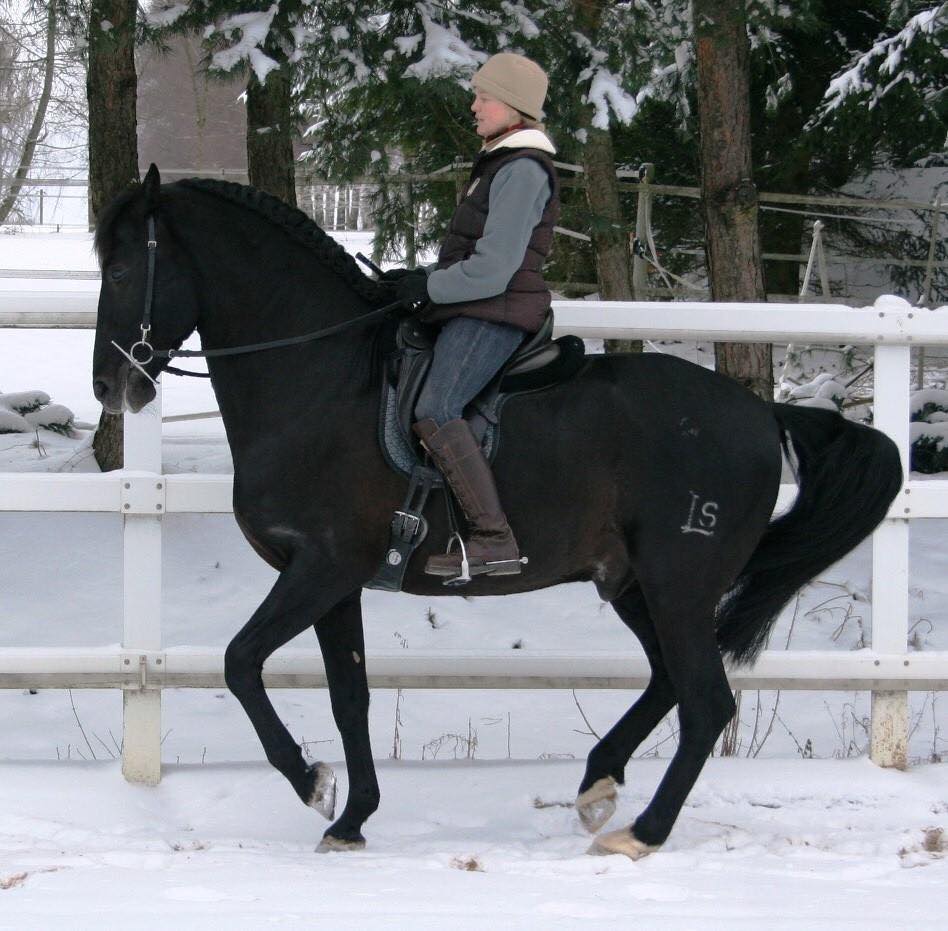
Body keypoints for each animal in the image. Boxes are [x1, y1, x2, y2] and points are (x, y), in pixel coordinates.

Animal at [91, 165, 902, 859]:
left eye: (124, 269)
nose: (110, 386)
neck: (324, 380)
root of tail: (764, 414)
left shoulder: (321, 568)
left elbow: (240, 662)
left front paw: (311, 781)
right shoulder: (334, 581)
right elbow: (349, 695)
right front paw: (351, 817)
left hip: (678, 580)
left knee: (705, 701)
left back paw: (641, 832)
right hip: (633, 583)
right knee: (670, 681)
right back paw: (598, 782)